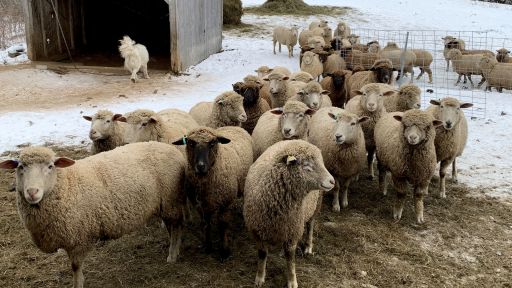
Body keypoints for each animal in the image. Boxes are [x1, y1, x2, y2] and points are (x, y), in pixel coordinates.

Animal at [0, 143, 188, 288]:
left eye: (50, 166)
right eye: (20, 167)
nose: (32, 192)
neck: (67, 184)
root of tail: (171, 148)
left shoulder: (79, 238)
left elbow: (75, 267)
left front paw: (78, 284)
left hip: (171, 199)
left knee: (177, 225)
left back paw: (172, 255)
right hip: (164, 204)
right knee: (172, 226)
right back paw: (175, 248)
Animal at [245, 140, 336, 288]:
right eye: (306, 166)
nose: (332, 181)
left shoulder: (293, 232)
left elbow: (290, 260)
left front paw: (292, 281)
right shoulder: (257, 231)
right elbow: (262, 254)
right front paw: (259, 277)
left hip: (315, 206)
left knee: (310, 226)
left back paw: (308, 247)